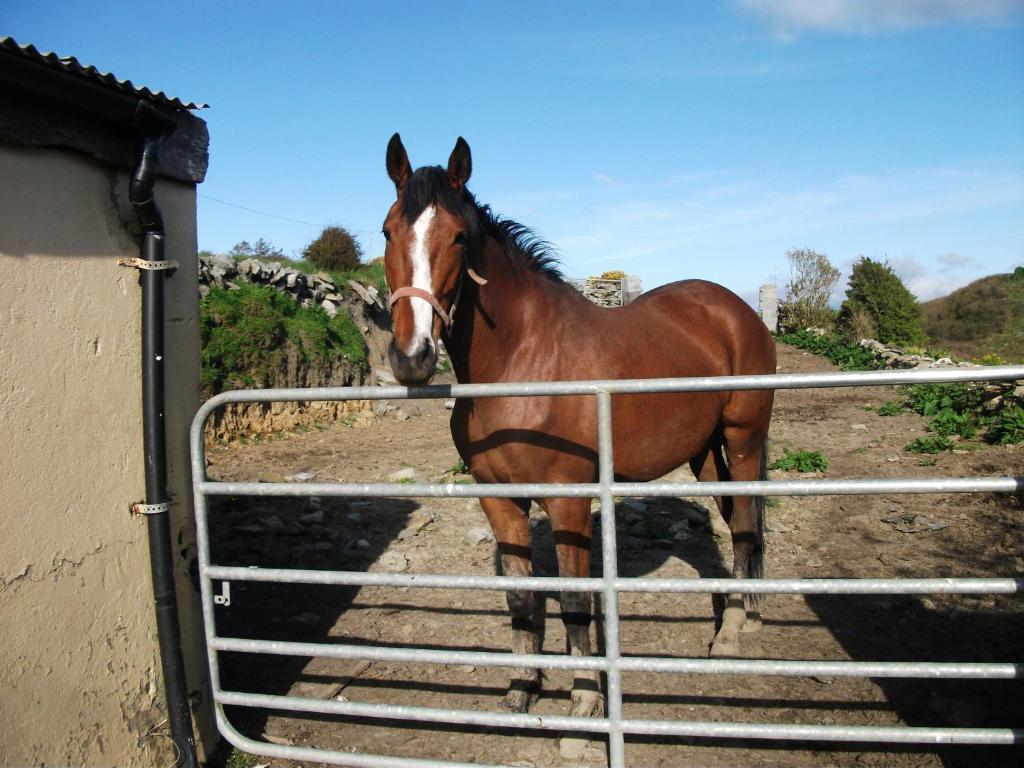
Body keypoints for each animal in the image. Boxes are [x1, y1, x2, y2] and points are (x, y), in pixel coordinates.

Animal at [382, 135, 774, 724]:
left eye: (457, 236)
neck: (523, 361)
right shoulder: (499, 498)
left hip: (743, 437)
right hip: (704, 451)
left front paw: (587, 695)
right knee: (733, 519)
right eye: (387, 231)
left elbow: (573, 598)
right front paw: (522, 686)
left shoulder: (567, 499)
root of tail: (736, 309)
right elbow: (521, 595)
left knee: (747, 522)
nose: (412, 357)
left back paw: (732, 632)